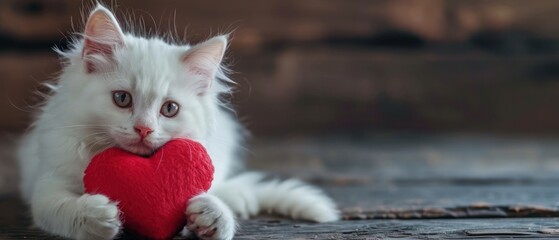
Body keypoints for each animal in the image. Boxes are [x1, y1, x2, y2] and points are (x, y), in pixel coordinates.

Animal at [17, 3, 340, 240]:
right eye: (122, 99)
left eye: (170, 109)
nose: (144, 129)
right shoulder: (47, 184)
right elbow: (60, 208)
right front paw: (97, 216)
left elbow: (213, 202)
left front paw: (213, 216)